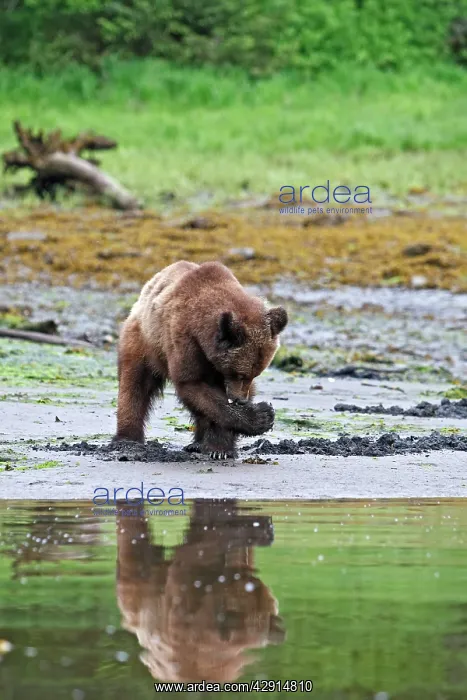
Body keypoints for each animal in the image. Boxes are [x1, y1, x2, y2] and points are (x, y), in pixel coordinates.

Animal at [113, 260, 288, 458]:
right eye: (240, 374)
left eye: (254, 374)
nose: (241, 400)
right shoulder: (185, 342)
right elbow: (195, 386)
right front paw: (262, 416)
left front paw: (220, 448)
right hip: (144, 343)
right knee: (134, 385)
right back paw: (127, 439)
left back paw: (197, 443)